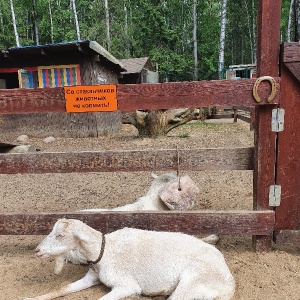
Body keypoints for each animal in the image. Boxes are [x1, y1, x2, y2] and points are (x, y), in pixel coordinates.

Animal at [22, 218, 236, 300]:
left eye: (60, 235)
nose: (37, 250)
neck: (104, 251)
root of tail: (229, 283)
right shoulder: (92, 277)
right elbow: (62, 288)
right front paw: (29, 297)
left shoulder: (126, 286)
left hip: (192, 282)